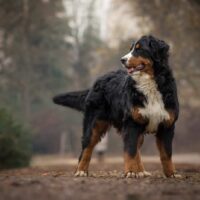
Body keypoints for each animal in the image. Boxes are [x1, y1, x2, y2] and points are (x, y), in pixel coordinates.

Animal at [53, 35, 181, 178]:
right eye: (130, 49)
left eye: (139, 49)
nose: (122, 60)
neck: (149, 84)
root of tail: (97, 81)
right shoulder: (131, 123)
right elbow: (130, 151)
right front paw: (131, 172)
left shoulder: (167, 124)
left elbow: (166, 154)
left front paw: (171, 174)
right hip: (94, 124)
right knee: (86, 148)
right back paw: (81, 171)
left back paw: (141, 171)